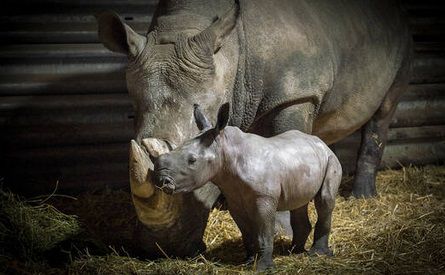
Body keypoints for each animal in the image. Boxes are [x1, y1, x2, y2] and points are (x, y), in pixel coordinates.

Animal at [153, 103, 340, 272]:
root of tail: (320, 141)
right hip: (304, 161)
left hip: (331, 159)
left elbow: (264, 232)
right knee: (298, 203)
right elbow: (247, 232)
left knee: (325, 200)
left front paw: (262, 268)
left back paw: (317, 254)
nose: (163, 181)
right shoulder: (234, 198)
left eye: (192, 161)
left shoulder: (264, 198)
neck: (227, 150)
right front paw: (249, 261)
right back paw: (294, 251)